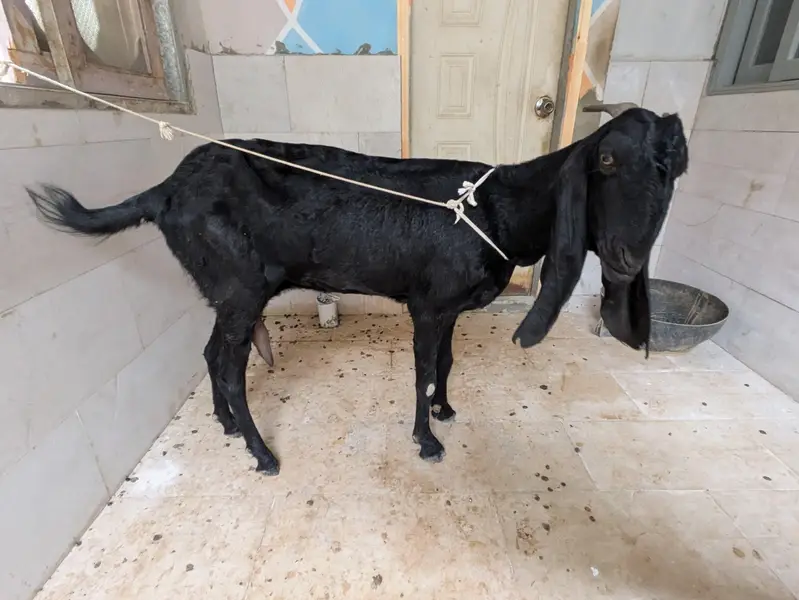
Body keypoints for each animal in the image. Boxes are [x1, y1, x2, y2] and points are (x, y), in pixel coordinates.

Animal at [27, 104, 688, 476]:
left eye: (671, 166)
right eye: (606, 161)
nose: (629, 257)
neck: (495, 209)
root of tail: (165, 190)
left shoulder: (448, 307)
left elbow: (445, 363)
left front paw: (446, 412)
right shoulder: (427, 304)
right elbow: (422, 370)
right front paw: (427, 441)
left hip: (224, 288)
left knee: (213, 353)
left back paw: (227, 426)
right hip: (240, 286)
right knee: (231, 366)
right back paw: (262, 453)